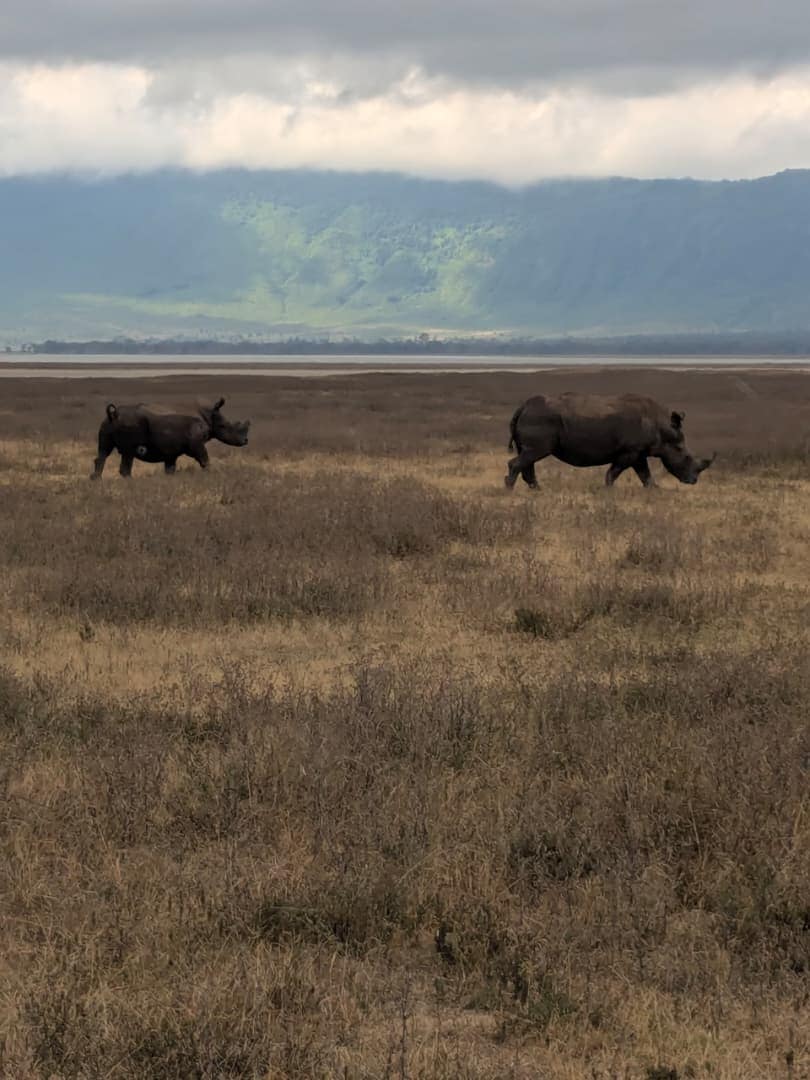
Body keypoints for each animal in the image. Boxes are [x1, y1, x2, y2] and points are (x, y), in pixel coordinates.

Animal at [91, 397, 250, 478]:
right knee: (128, 454)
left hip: (106, 424)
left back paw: (96, 481)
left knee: (103, 452)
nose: (245, 441)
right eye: (224, 426)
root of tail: (114, 414)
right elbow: (204, 459)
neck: (209, 415)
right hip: (129, 424)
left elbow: (170, 468)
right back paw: (130, 481)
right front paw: (211, 475)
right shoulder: (196, 443)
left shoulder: (170, 450)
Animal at [505, 392, 715, 489]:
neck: (663, 427)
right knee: (532, 455)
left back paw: (538, 490)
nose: (693, 480)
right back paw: (509, 491)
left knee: (528, 457)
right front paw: (608, 491)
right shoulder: (629, 451)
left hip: (535, 419)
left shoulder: (638, 453)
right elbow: (613, 472)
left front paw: (656, 490)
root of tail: (522, 407)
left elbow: (645, 475)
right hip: (540, 420)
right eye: (684, 454)